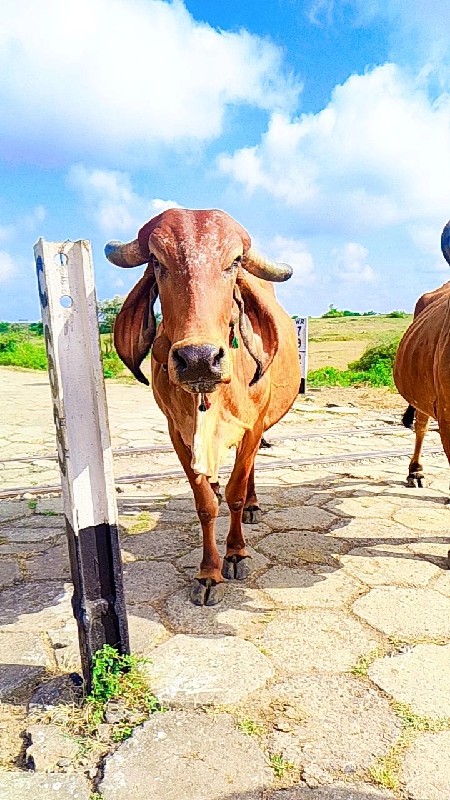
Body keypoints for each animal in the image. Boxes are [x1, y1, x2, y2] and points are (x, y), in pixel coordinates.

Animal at [106, 209, 300, 604]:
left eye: (234, 262)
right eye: (157, 261)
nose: (199, 359)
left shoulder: (253, 427)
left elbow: (236, 494)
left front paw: (236, 553)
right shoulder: (177, 432)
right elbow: (205, 504)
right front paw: (209, 572)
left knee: (248, 473)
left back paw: (253, 504)